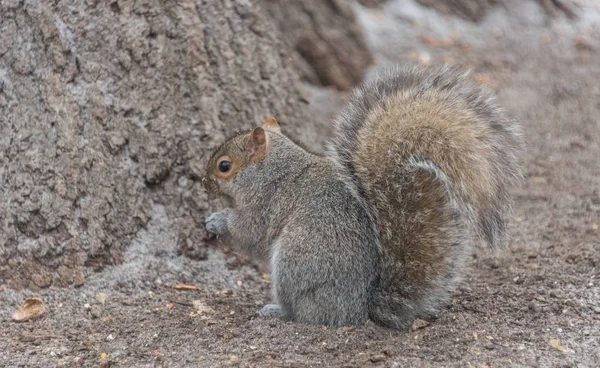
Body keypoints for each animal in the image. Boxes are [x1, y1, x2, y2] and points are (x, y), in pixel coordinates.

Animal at [200, 65, 520, 328]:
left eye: (224, 166)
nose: (203, 182)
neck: (272, 169)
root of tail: (360, 308)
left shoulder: (265, 202)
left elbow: (249, 233)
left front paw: (217, 221)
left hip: (296, 260)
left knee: (306, 313)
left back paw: (278, 311)